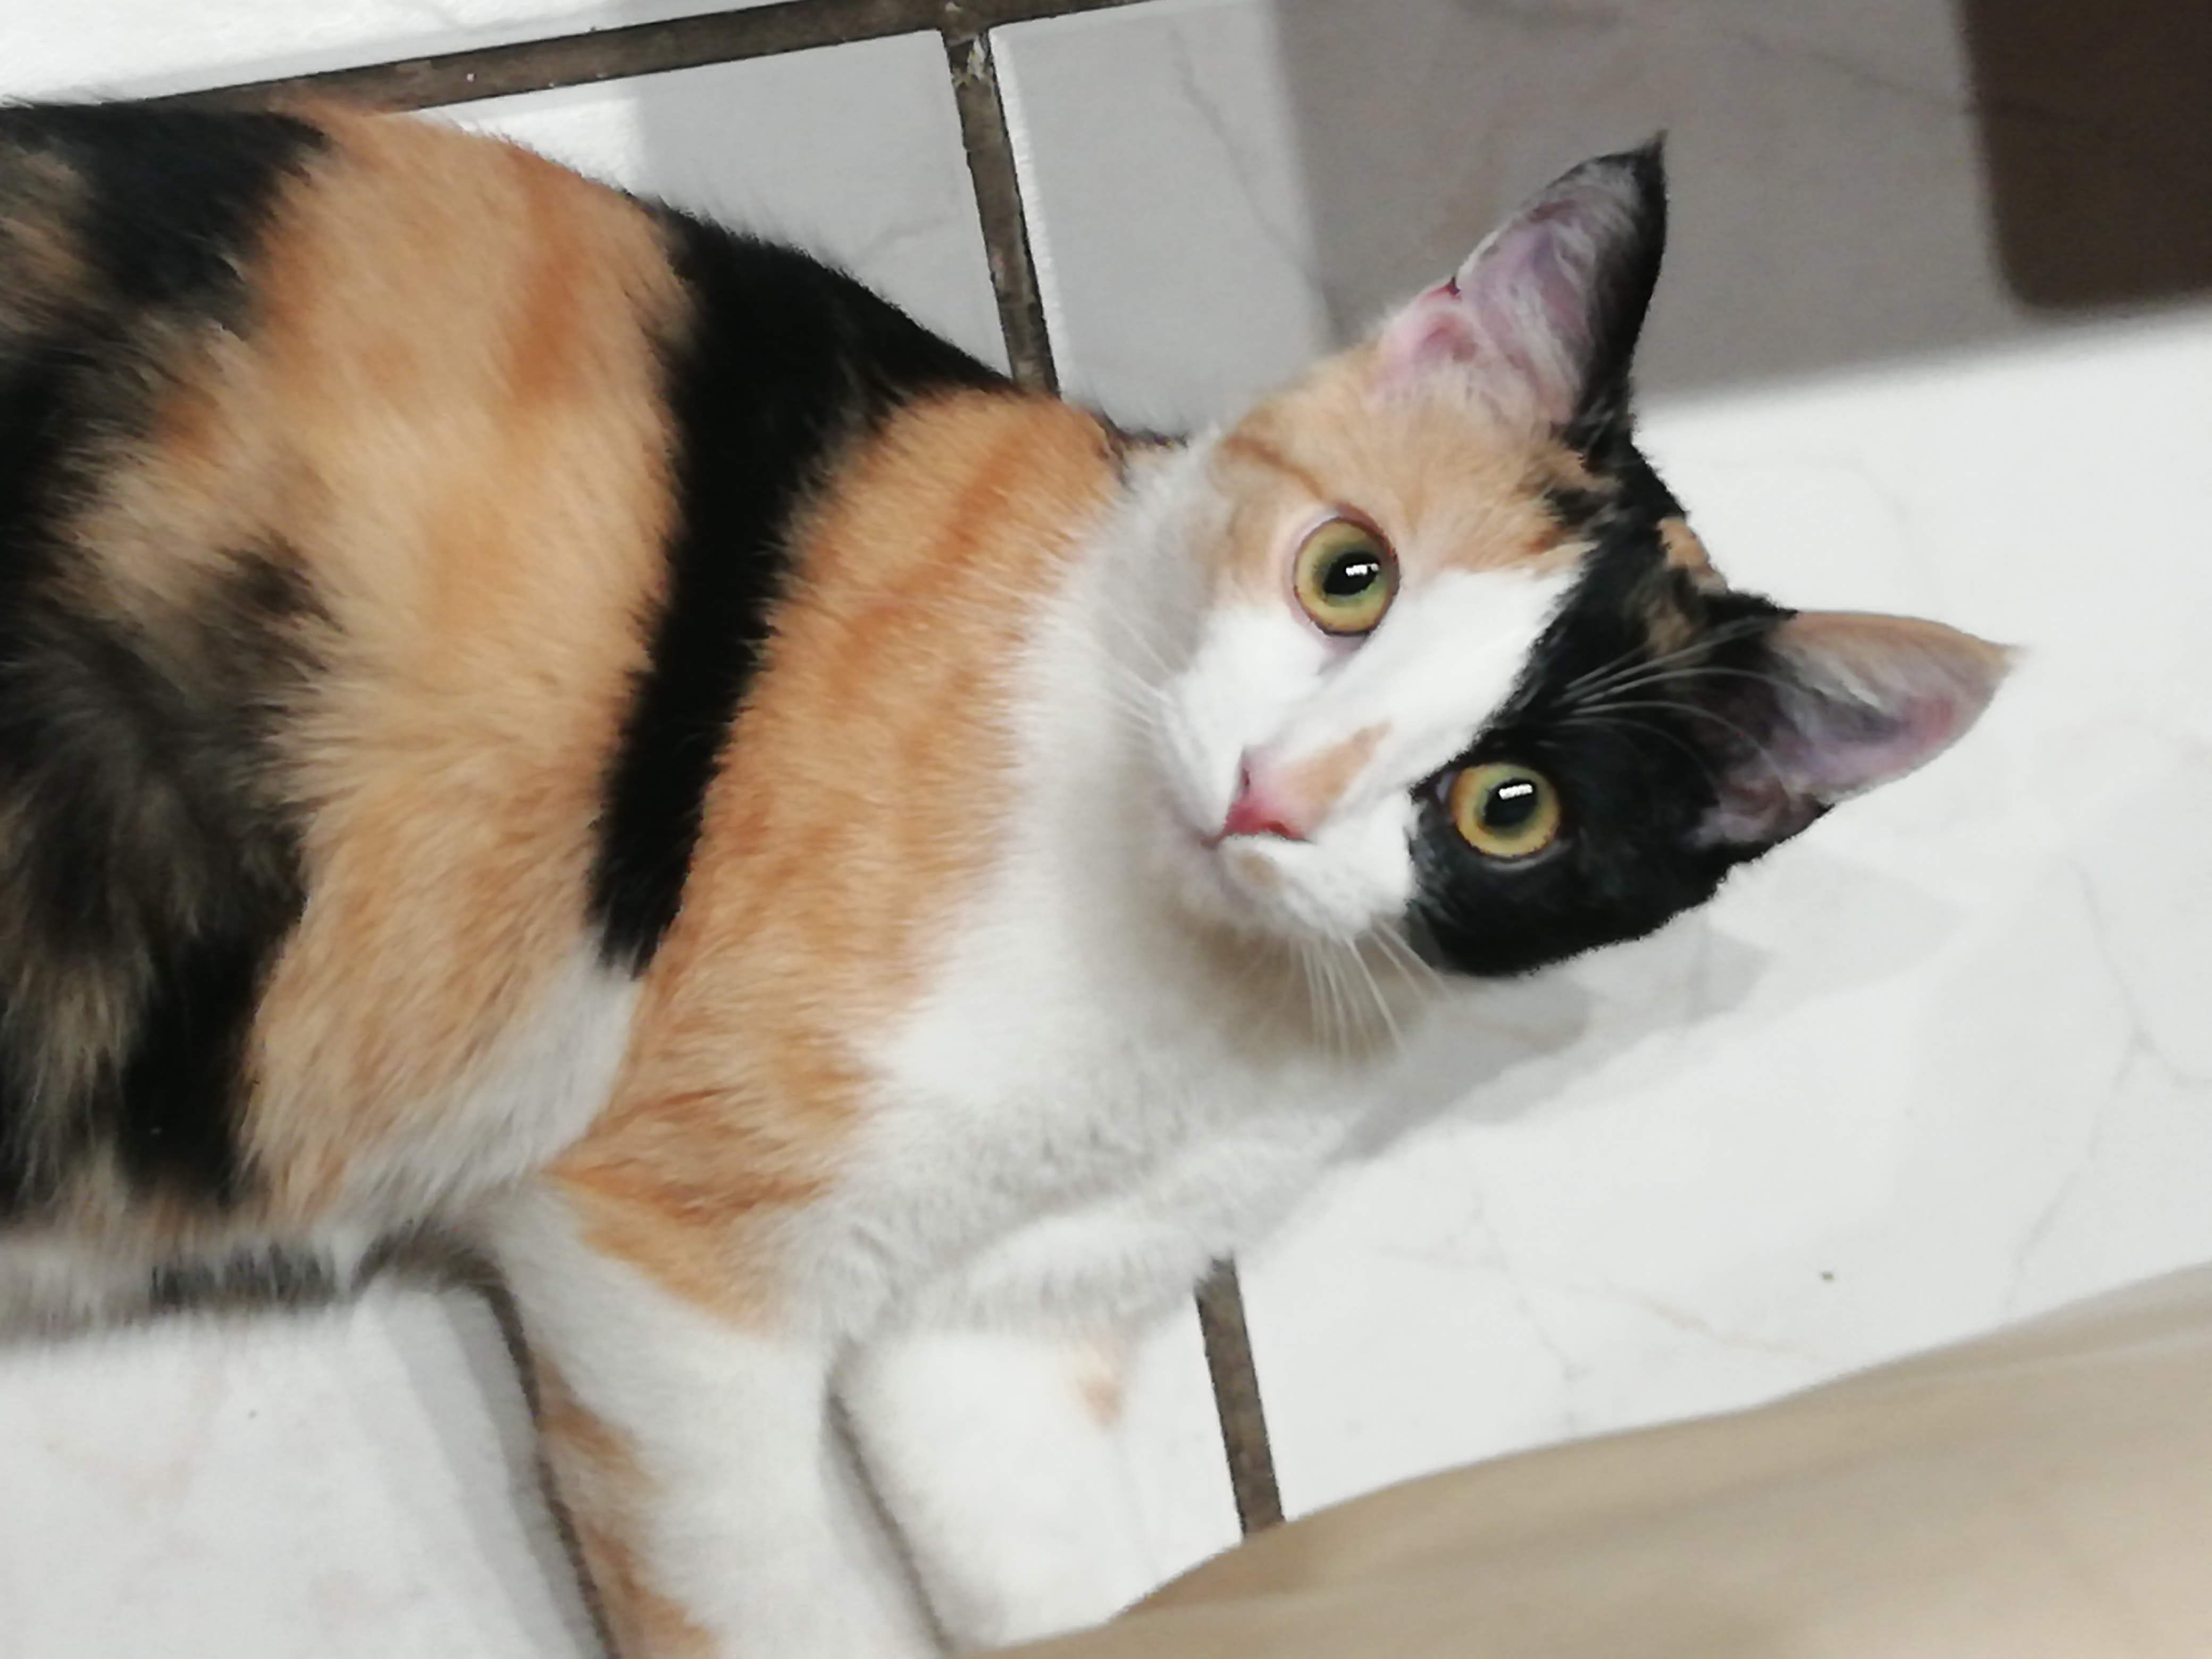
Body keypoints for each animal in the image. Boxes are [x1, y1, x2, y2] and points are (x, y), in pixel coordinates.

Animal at [0, 99, 2006, 1658]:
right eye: (1346, 573)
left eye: (1510, 809)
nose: (1274, 797)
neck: (1191, 986)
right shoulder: (659, 1257)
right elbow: (761, 1598)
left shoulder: (996, 1340)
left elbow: (1055, 1573)